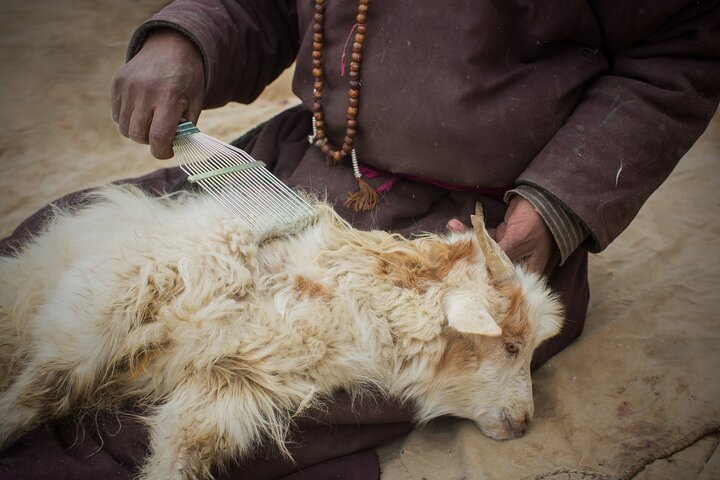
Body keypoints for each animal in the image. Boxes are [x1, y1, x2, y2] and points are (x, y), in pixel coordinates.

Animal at [0, 187, 564, 480]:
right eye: (511, 346)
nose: (524, 423)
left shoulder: (231, 383)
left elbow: (182, 448)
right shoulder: (113, 297)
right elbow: (44, 387)